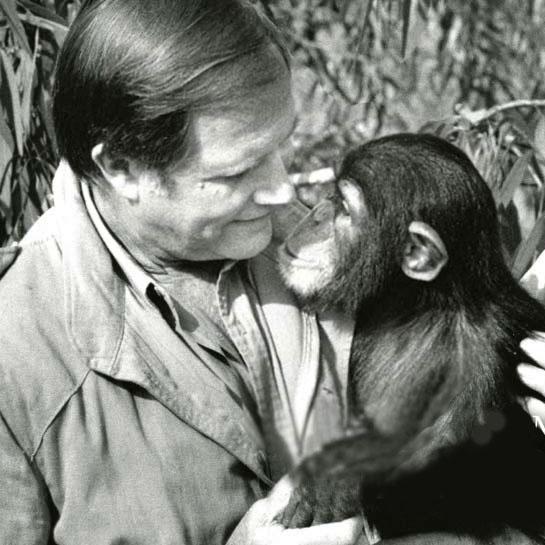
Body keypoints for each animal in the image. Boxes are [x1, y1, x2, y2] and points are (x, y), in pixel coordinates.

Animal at [276, 133, 545, 544]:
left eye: (344, 207)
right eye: (331, 193)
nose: (316, 212)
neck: (422, 306)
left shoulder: (479, 365)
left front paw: (331, 484)